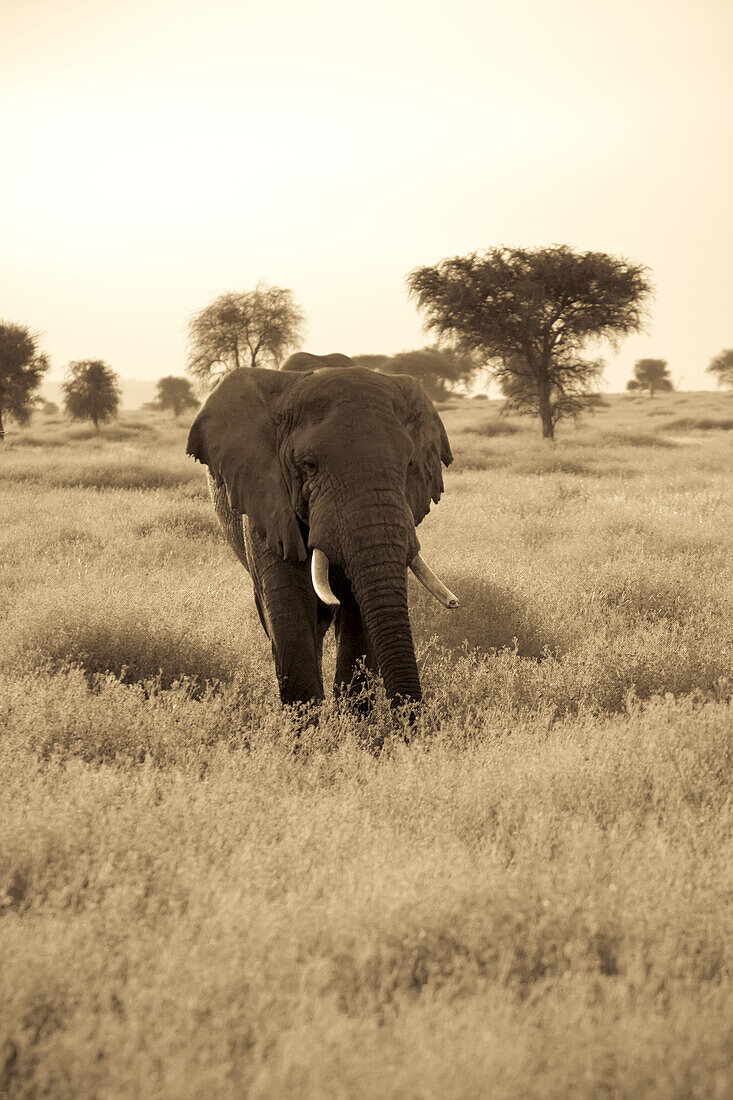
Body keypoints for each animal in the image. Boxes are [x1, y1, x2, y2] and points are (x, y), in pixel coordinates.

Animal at [186, 356, 453, 708]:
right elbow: (290, 608)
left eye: (409, 464)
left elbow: (359, 613)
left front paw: (352, 720)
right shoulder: (268, 502)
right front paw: (307, 721)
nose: (410, 718)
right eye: (309, 466)